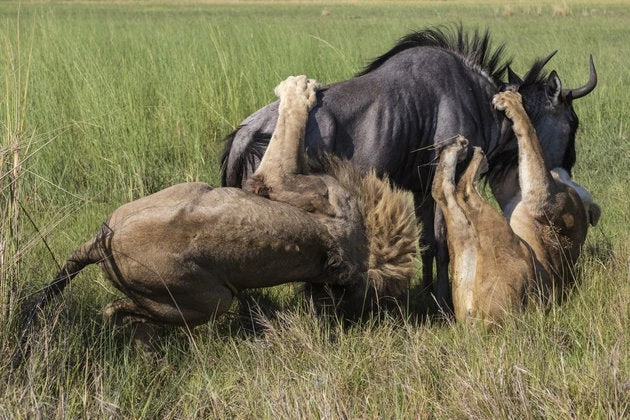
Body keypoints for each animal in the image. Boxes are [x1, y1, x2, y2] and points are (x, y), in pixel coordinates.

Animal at [12, 76, 420, 364]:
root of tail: (100, 243)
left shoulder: (275, 180)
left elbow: (289, 127)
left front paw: (296, 88)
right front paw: (298, 88)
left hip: (210, 299)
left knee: (117, 310)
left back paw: (144, 344)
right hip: (187, 192)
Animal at [434, 88, 604, 324]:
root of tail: (475, 320)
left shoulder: (543, 198)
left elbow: (531, 138)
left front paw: (510, 101)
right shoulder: (509, 187)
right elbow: (529, 152)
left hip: (506, 241)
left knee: (461, 191)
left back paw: (471, 152)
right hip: (462, 245)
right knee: (443, 191)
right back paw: (457, 149)